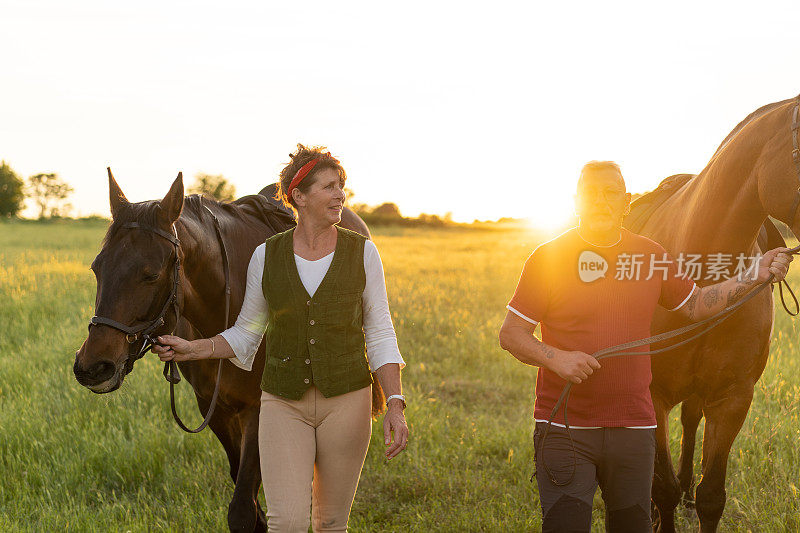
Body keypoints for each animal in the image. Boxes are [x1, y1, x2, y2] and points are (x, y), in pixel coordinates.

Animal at [624, 95, 800, 532]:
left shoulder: (732, 397)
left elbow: (711, 496)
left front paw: (691, 496)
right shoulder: (652, 394)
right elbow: (662, 487)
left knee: (690, 422)